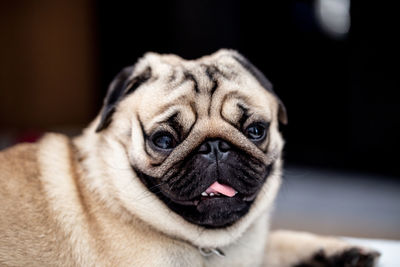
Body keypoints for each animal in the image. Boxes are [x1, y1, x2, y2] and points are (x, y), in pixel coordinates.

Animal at [0, 49, 380, 266]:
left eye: (256, 130)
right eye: (164, 140)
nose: (214, 147)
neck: (209, 248)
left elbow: (280, 240)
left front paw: (337, 251)